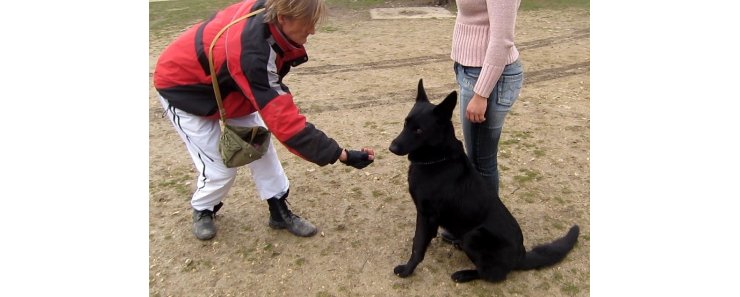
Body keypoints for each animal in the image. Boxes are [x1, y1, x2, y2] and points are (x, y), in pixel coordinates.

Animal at [388, 78, 580, 282]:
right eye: (405, 123)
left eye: (419, 130)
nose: (391, 147)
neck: (437, 159)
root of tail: (521, 255)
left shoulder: (426, 214)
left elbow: (417, 245)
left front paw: (407, 270)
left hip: (473, 236)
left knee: (493, 274)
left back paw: (465, 274)